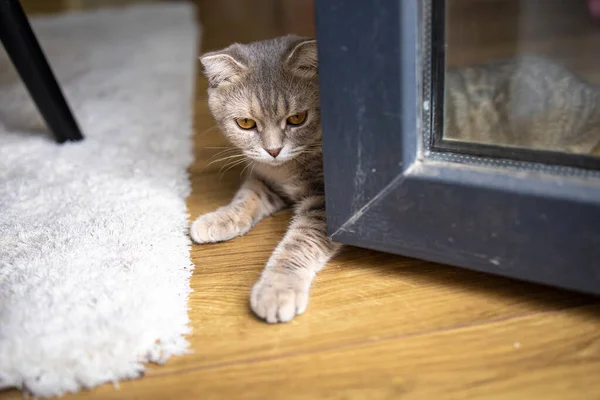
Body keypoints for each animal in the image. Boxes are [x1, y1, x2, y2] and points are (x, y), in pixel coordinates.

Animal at [190, 32, 338, 324]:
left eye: (297, 118)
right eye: (246, 123)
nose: (273, 150)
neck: (285, 169)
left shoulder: (325, 202)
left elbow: (299, 242)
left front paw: (277, 289)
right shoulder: (264, 178)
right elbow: (246, 197)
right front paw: (219, 219)